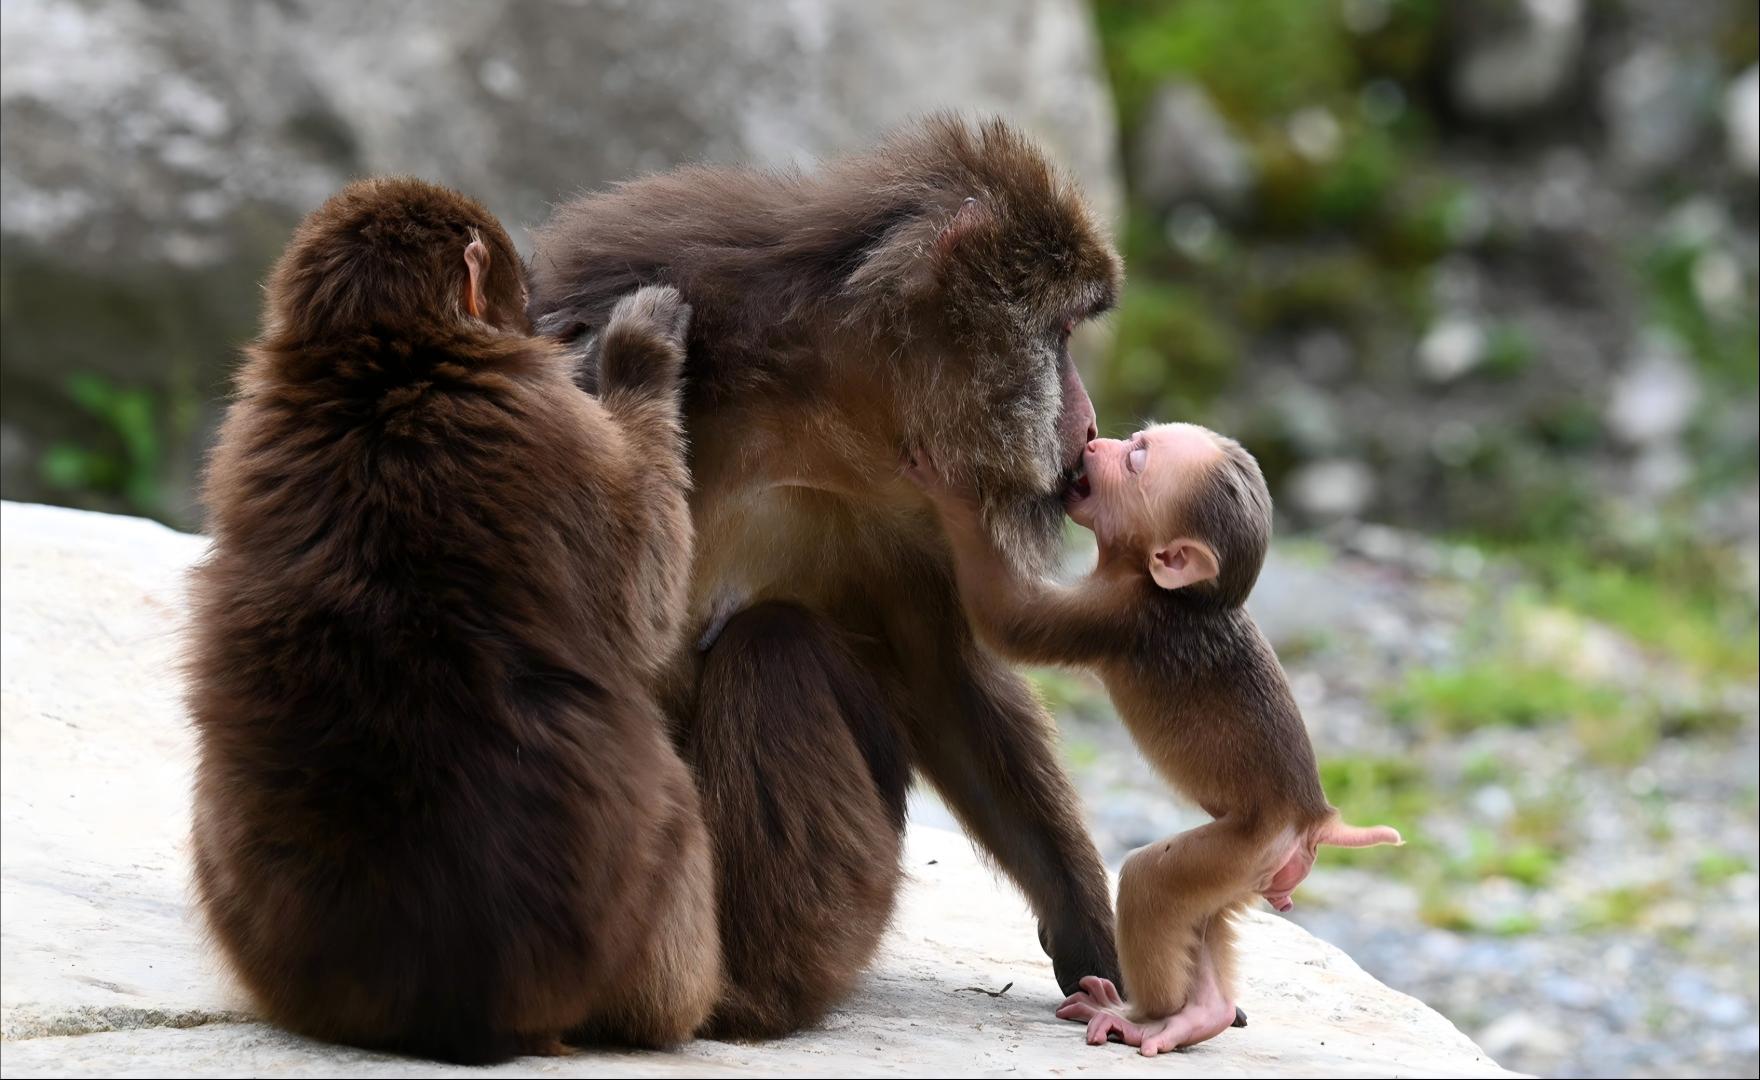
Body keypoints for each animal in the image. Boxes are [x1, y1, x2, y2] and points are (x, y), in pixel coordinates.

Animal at [185, 177, 720, 1064]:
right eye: (521, 294)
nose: (551, 322)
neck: (385, 361)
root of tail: (459, 1008)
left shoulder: (241, 430)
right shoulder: (553, 422)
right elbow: (646, 602)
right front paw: (637, 352)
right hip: (643, 905)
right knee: (679, 807)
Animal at [527, 115, 1125, 1036]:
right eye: (1059, 336)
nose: (1091, 427)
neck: (811, 405)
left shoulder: (916, 510)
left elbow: (945, 685)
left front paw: (1092, 936)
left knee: (772, 645)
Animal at [902, 422, 1403, 1056]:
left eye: (1136, 460)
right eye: (1137, 438)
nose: (1095, 443)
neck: (1171, 591)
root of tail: (1314, 817)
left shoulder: (1119, 615)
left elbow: (1011, 622)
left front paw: (954, 497)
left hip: (1246, 845)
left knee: (1150, 882)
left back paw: (1145, 1017)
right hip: (1248, 870)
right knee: (1205, 917)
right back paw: (1203, 1015)